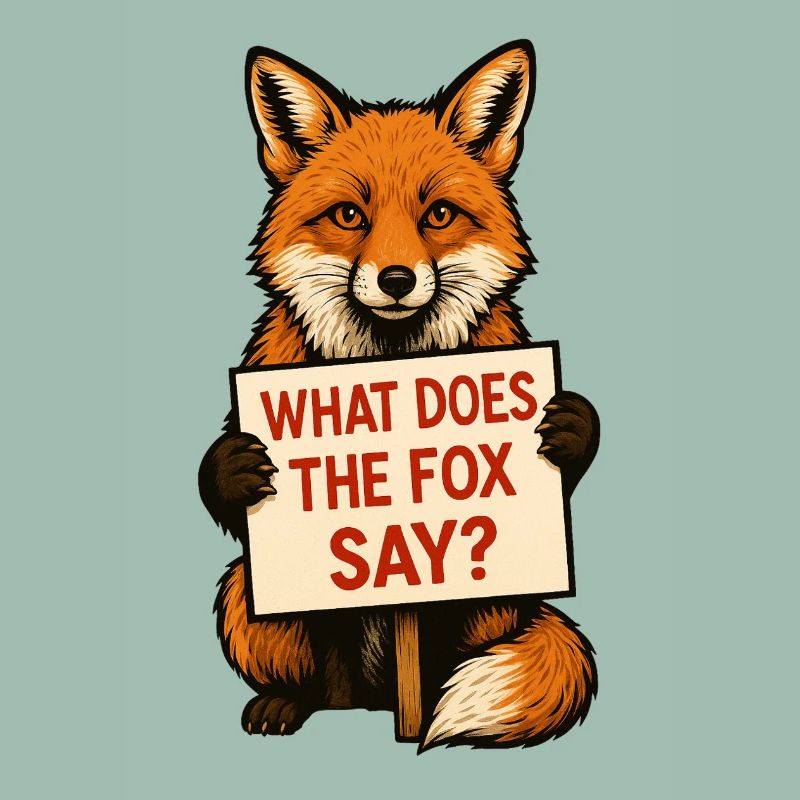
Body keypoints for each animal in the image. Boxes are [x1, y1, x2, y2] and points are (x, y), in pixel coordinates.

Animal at [199, 40, 600, 750]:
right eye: (349, 216)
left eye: (437, 214)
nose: (394, 279)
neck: (390, 365)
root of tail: (371, 699)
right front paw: (236, 464)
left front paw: (569, 428)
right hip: (247, 593)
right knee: (317, 683)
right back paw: (289, 703)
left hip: (489, 600)